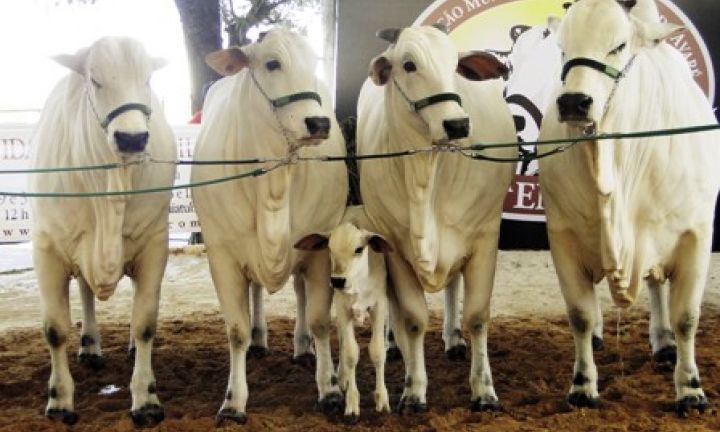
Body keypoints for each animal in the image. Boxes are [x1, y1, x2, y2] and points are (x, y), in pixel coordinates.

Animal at [30, 38, 177, 428]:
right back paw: (90, 346)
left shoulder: (155, 244)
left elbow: (145, 323)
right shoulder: (46, 249)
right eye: (94, 80)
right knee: (85, 292)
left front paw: (146, 398)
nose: (132, 138)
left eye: (147, 79)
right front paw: (59, 400)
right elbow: (55, 329)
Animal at [191, 28, 348, 424]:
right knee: (257, 292)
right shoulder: (223, 256)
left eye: (314, 63)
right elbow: (236, 330)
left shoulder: (319, 248)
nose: (319, 123)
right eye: (272, 62)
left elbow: (321, 320)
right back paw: (260, 338)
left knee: (301, 295)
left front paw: (330, 390)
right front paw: (233, 401)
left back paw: (302, 346)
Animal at [294, 206, 394, 418]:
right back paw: (343, 377)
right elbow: (350, 353)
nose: (338, 280)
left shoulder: (379, 306)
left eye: (359, 249)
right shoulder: (343, 309)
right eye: (330, 249)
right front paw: (352, 403)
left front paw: (382, 400)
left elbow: (377, 351)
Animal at [356, 25, 516, 410]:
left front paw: (484, 390)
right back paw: (394, 345)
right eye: (408, 64)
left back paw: (454, 339)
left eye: (456, 65)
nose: (457, 124)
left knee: (453, 285)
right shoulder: (393, 245)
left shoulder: (484, 237)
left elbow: (477, 317)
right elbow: (413, 319)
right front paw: (414, 390)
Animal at [540, 0, 720, 414]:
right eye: (561, 47)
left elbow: (687, 317)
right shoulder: (563, 236)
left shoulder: (696, 235)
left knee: (655, 285)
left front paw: (691, 389)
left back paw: (664, 341)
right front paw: (582, 385)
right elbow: (579, 315)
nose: (573, 102)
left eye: (619, 45)